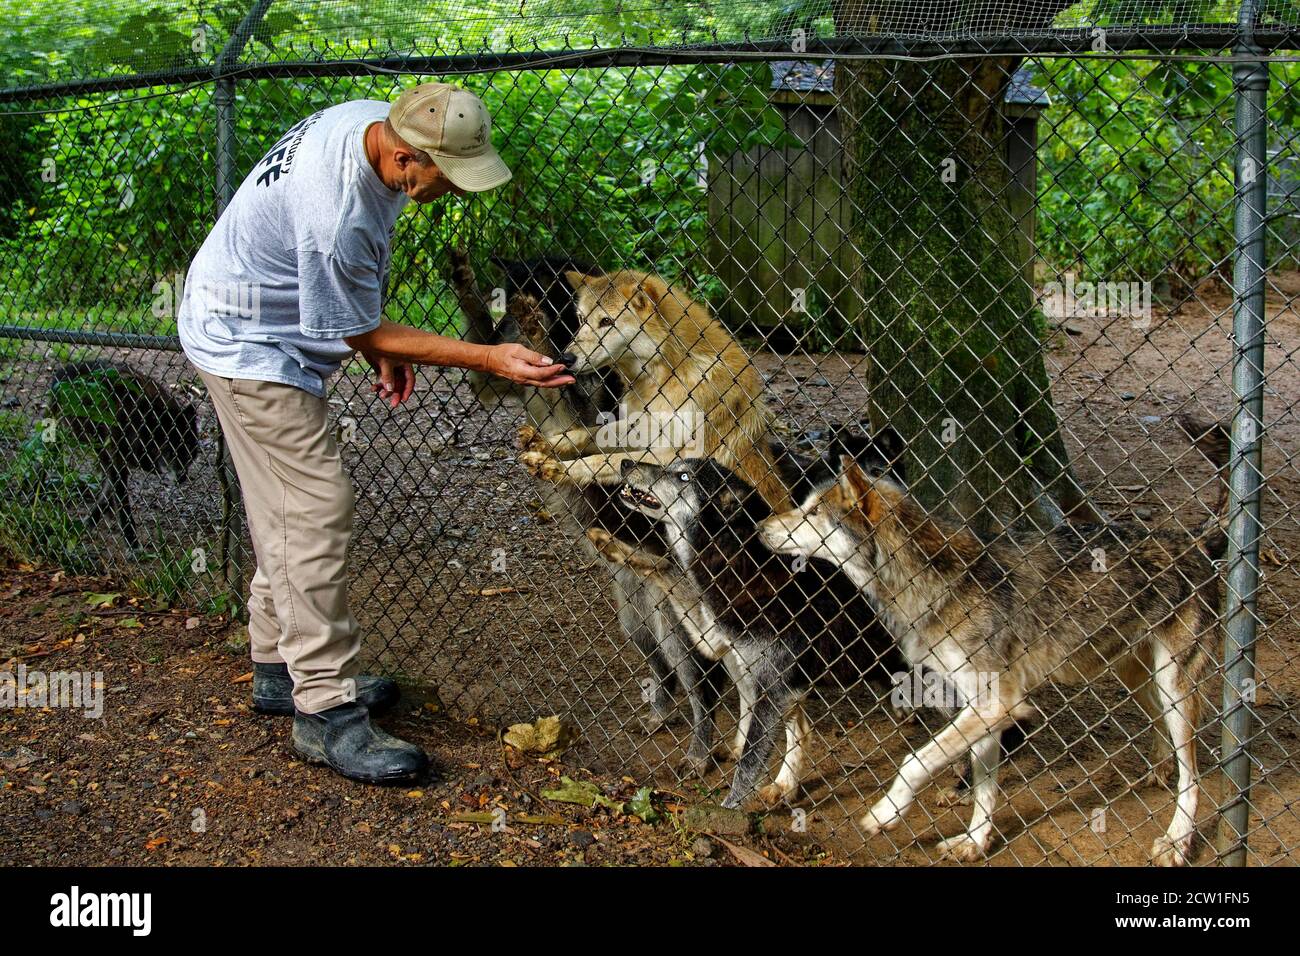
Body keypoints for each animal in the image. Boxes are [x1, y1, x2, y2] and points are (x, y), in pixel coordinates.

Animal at [49, 359, 199, 548]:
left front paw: (91, 521)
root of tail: (64, 370)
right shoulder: (118, 459)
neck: (139, 422)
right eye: (170, 451)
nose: (182, 477)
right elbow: (122, 501)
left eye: (188, 451)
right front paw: (132, 543)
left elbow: (108, 493)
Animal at [759, 458, 1219, 866]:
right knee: (1162, 733)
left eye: (813, 512)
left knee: (1193, 776)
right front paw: (974, 843)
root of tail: (1195, 543)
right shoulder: (980, 707)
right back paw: (1158, 771)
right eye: (803, 506)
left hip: (1173, 687)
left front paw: (885, 814)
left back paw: (1176, 842)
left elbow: (914, 762)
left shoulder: (999, 704)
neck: (927, 582)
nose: (760, 527)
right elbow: (985, 786)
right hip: (1138, 679)